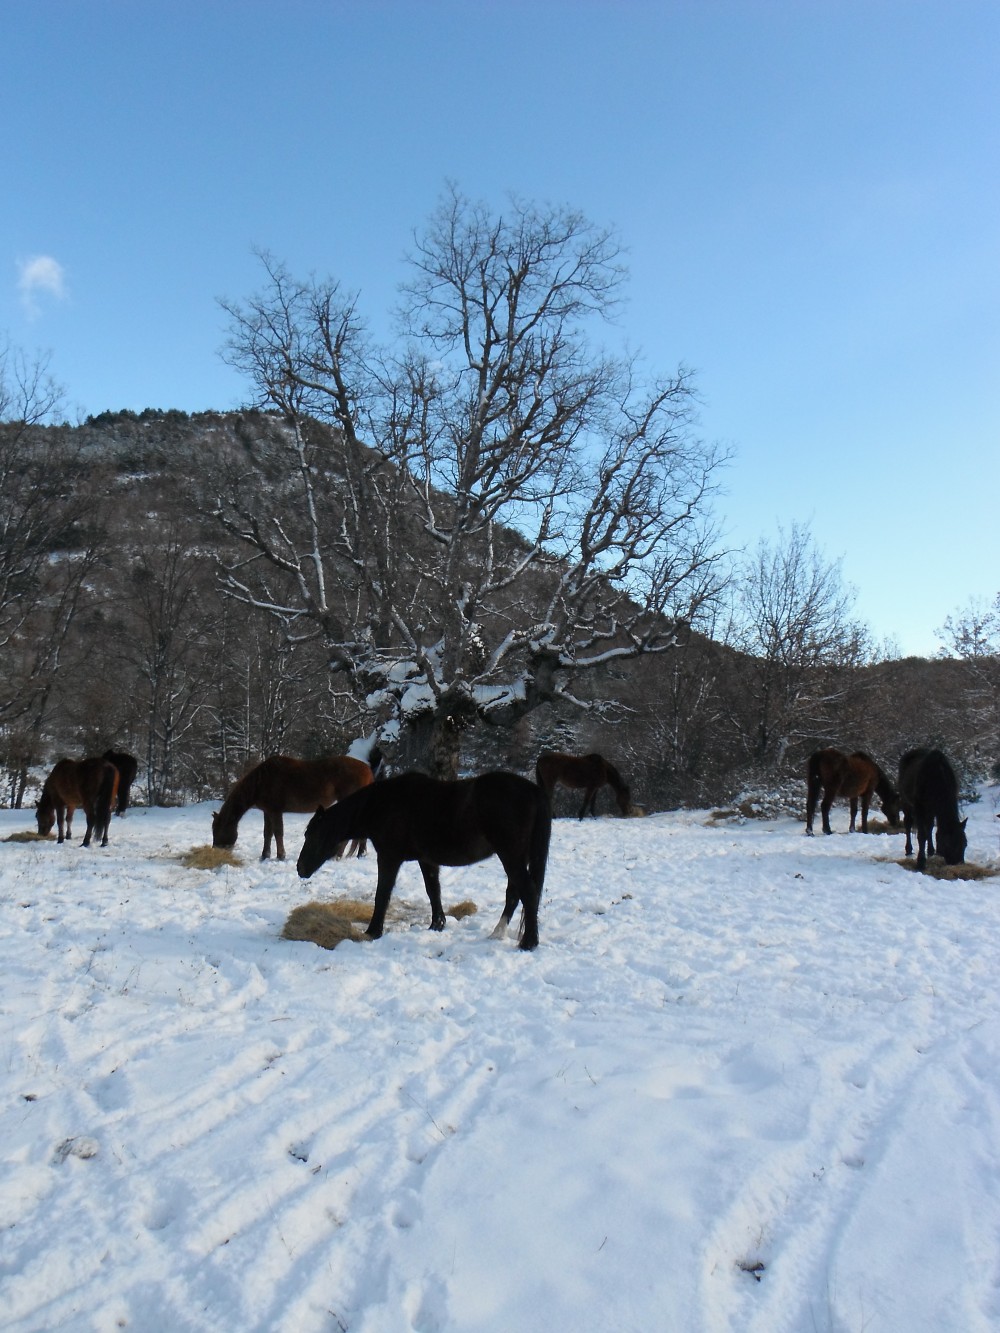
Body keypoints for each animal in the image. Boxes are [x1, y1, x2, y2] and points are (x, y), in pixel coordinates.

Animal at [212, 751, 378, 863]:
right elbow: (267, 833)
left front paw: (280, 856)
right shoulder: (267, 811)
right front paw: (265, 855)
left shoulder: (275, 811)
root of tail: (367, 770)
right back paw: (359, 853)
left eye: (217, 830)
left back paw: (339, 855)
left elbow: (278, 833)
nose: (216, 849)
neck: (261, 782)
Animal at [297, 773, 552, 949]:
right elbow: (433, 891)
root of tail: (534, 791)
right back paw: (498, 933)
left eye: (313, 835)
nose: (300, 869)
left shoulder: (389, 858)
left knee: (527, 892)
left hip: (511, 856)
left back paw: (528, 942)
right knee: (515, 894)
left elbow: (382, 894)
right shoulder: (426, 860)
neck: (384, 804)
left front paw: (373, 931)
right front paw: (437, 925)